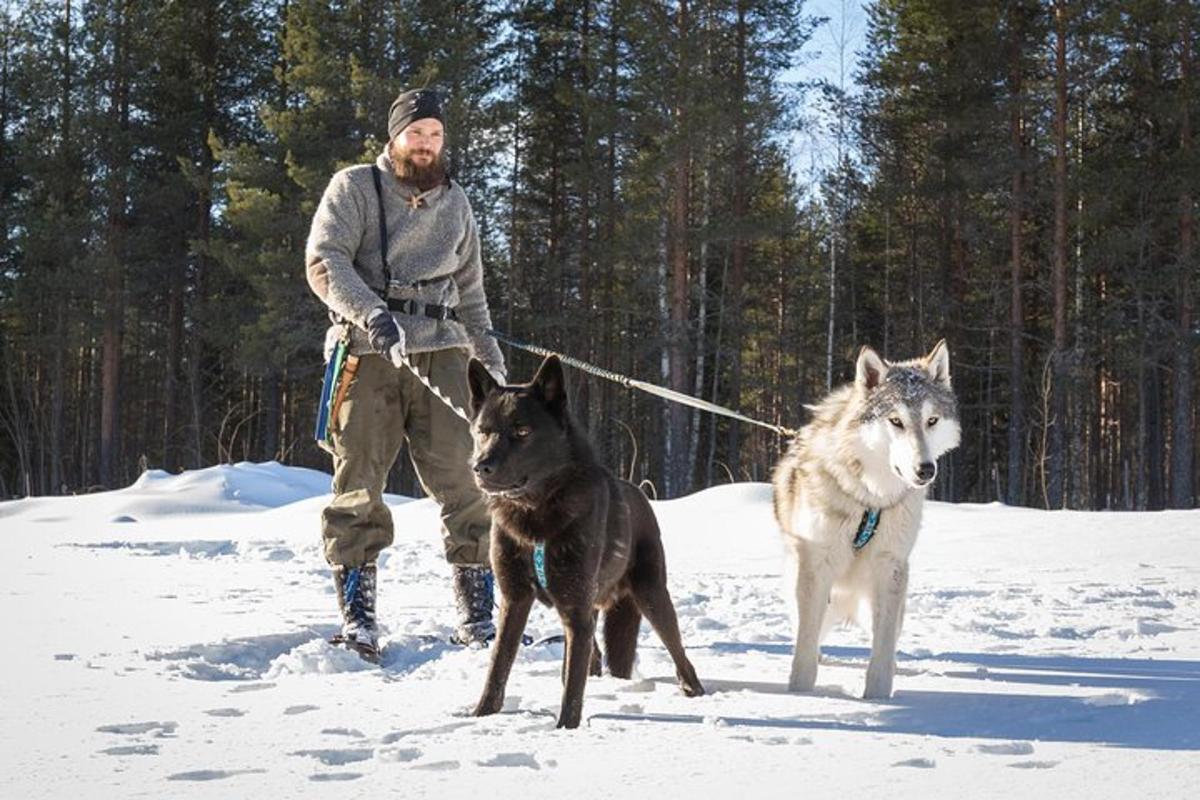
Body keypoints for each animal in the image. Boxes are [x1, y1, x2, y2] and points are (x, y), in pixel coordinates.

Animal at [465, 352, 700, 729]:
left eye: (522, 430)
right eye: (483, 431)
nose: (480, 467)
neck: (536, 514)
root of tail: (640, 495)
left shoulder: (575, 608)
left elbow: (573, 689)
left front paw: (566, 731)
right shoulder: (516, 600)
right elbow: (498, 666)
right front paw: (481, 717)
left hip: (651, 595)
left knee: (677, 649)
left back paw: (694, 689)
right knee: (590, 654)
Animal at [772, 340, 960, 695]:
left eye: (931, 420)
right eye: (896, 421)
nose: (925, 470)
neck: (871, 498)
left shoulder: (890, 566)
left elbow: (882, 649)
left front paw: (877, 697)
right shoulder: (817, 564)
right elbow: (804, 651)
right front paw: (800, 695)